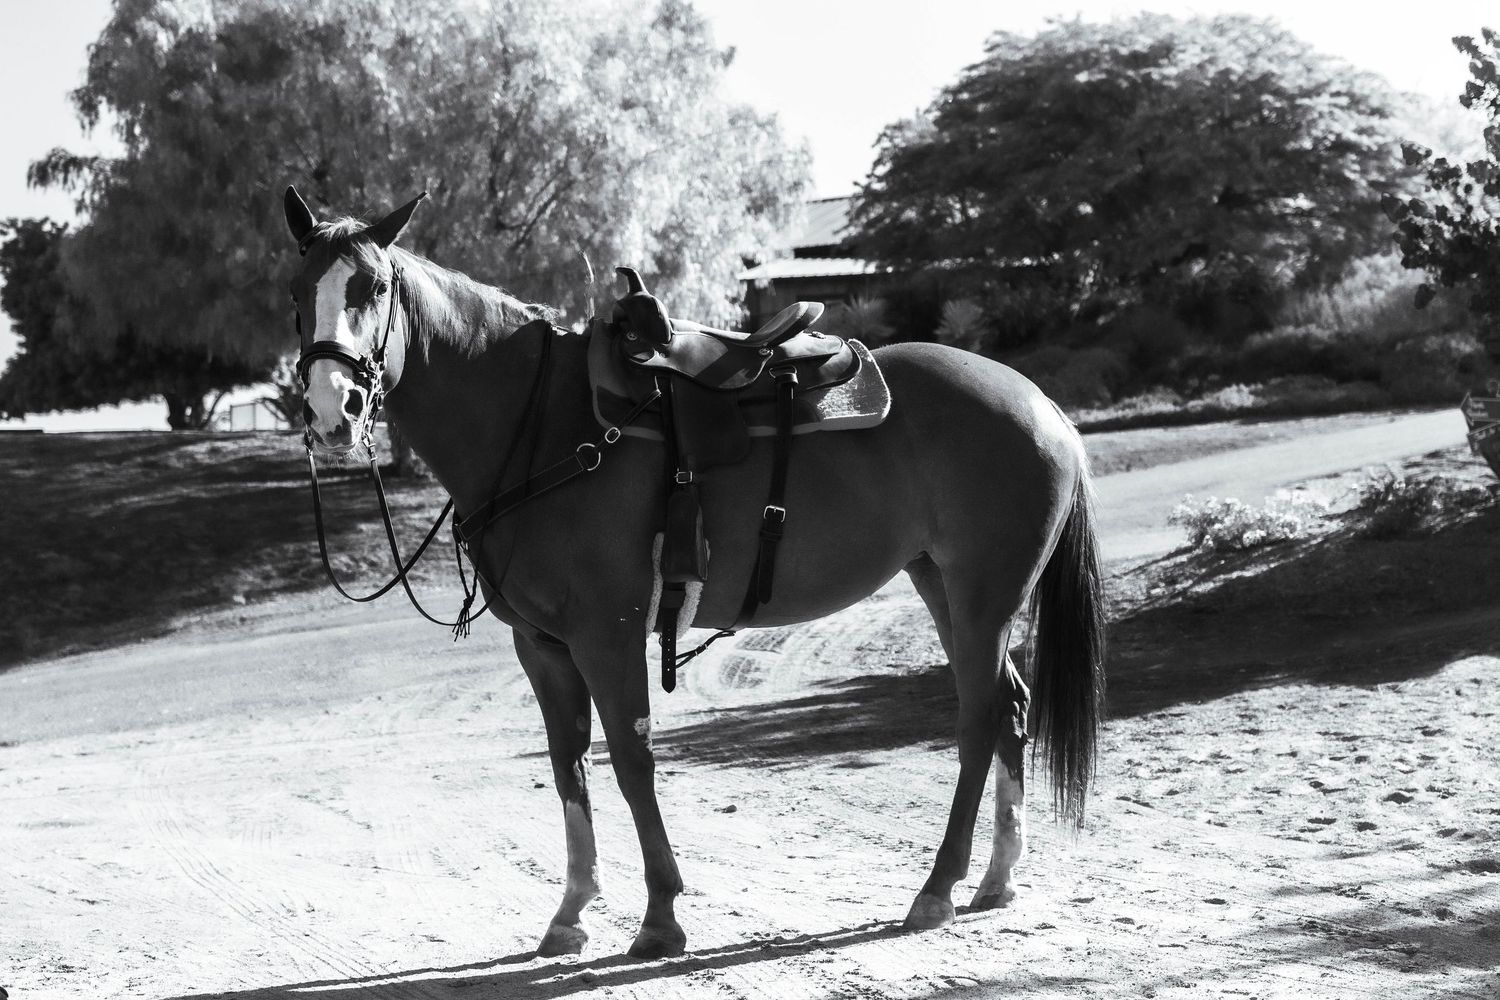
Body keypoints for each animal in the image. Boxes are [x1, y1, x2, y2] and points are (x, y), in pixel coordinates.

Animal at [283, 186, 1105, 959]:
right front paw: (571, 911)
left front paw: (659, 917)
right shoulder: (543, 647)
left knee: (979, 718)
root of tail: (1043, 406)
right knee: (1011, 706)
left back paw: (937, 888)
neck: (544, 422)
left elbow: (631, 759)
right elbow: (568, 764)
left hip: (982, 597)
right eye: (297, 292)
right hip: (943, 586)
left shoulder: (607, 633)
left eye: (372, 288)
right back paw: (996, 879)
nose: (332, 410)